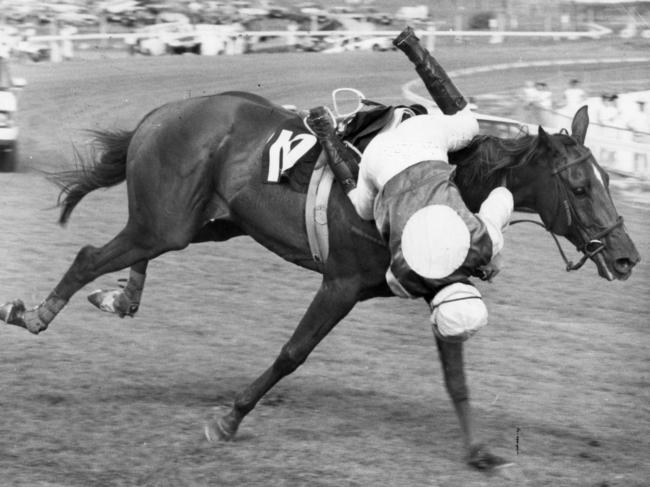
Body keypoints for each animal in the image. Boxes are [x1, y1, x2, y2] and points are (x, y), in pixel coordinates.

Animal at [0, 89, 636, 470]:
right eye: (580, 186)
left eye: (608, 179)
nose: (627, 256)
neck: (454, 184)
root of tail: (161, 114)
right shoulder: (341, 283)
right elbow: (292, 352)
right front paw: (228, 418)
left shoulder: (436, 283)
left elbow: (456, 374)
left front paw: (480, 451)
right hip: (168, 221)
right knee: (89, 255)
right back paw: (35, 313)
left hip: (205, 223)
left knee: (128, 253)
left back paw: (122, 297)